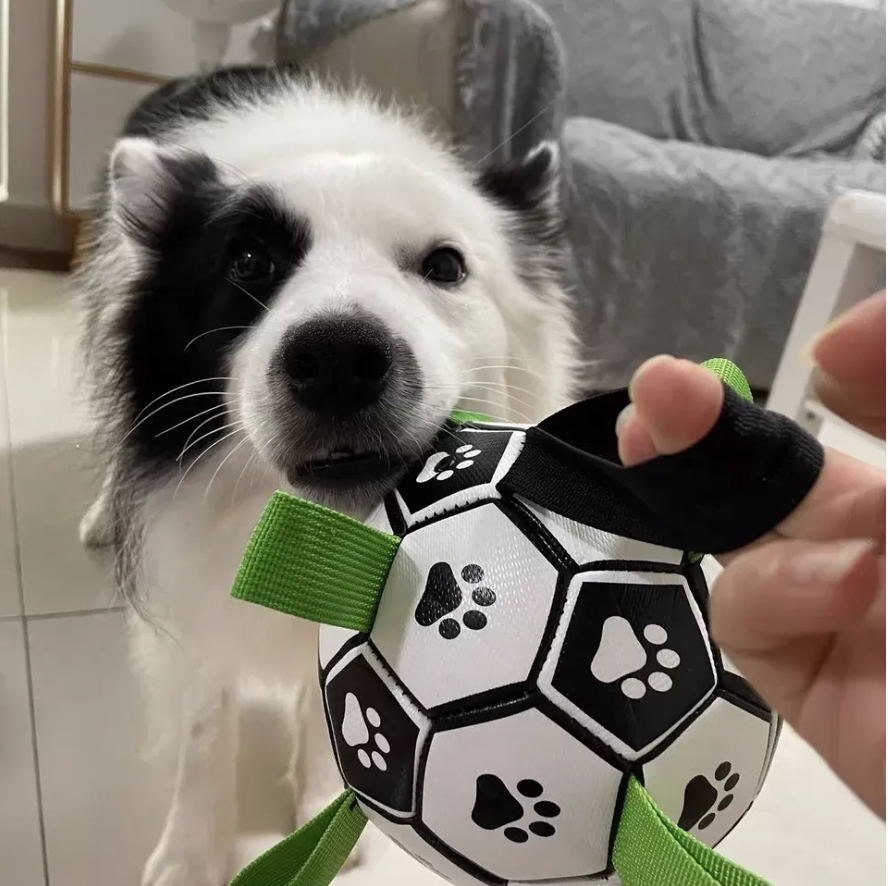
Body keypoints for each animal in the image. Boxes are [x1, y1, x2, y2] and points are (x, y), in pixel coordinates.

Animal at [76, 67, 576, 886]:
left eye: (445, 265)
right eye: (249, 263)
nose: (340, 358)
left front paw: (324, 801)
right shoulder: (182, 562)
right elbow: (203, 718)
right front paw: (191, 851)